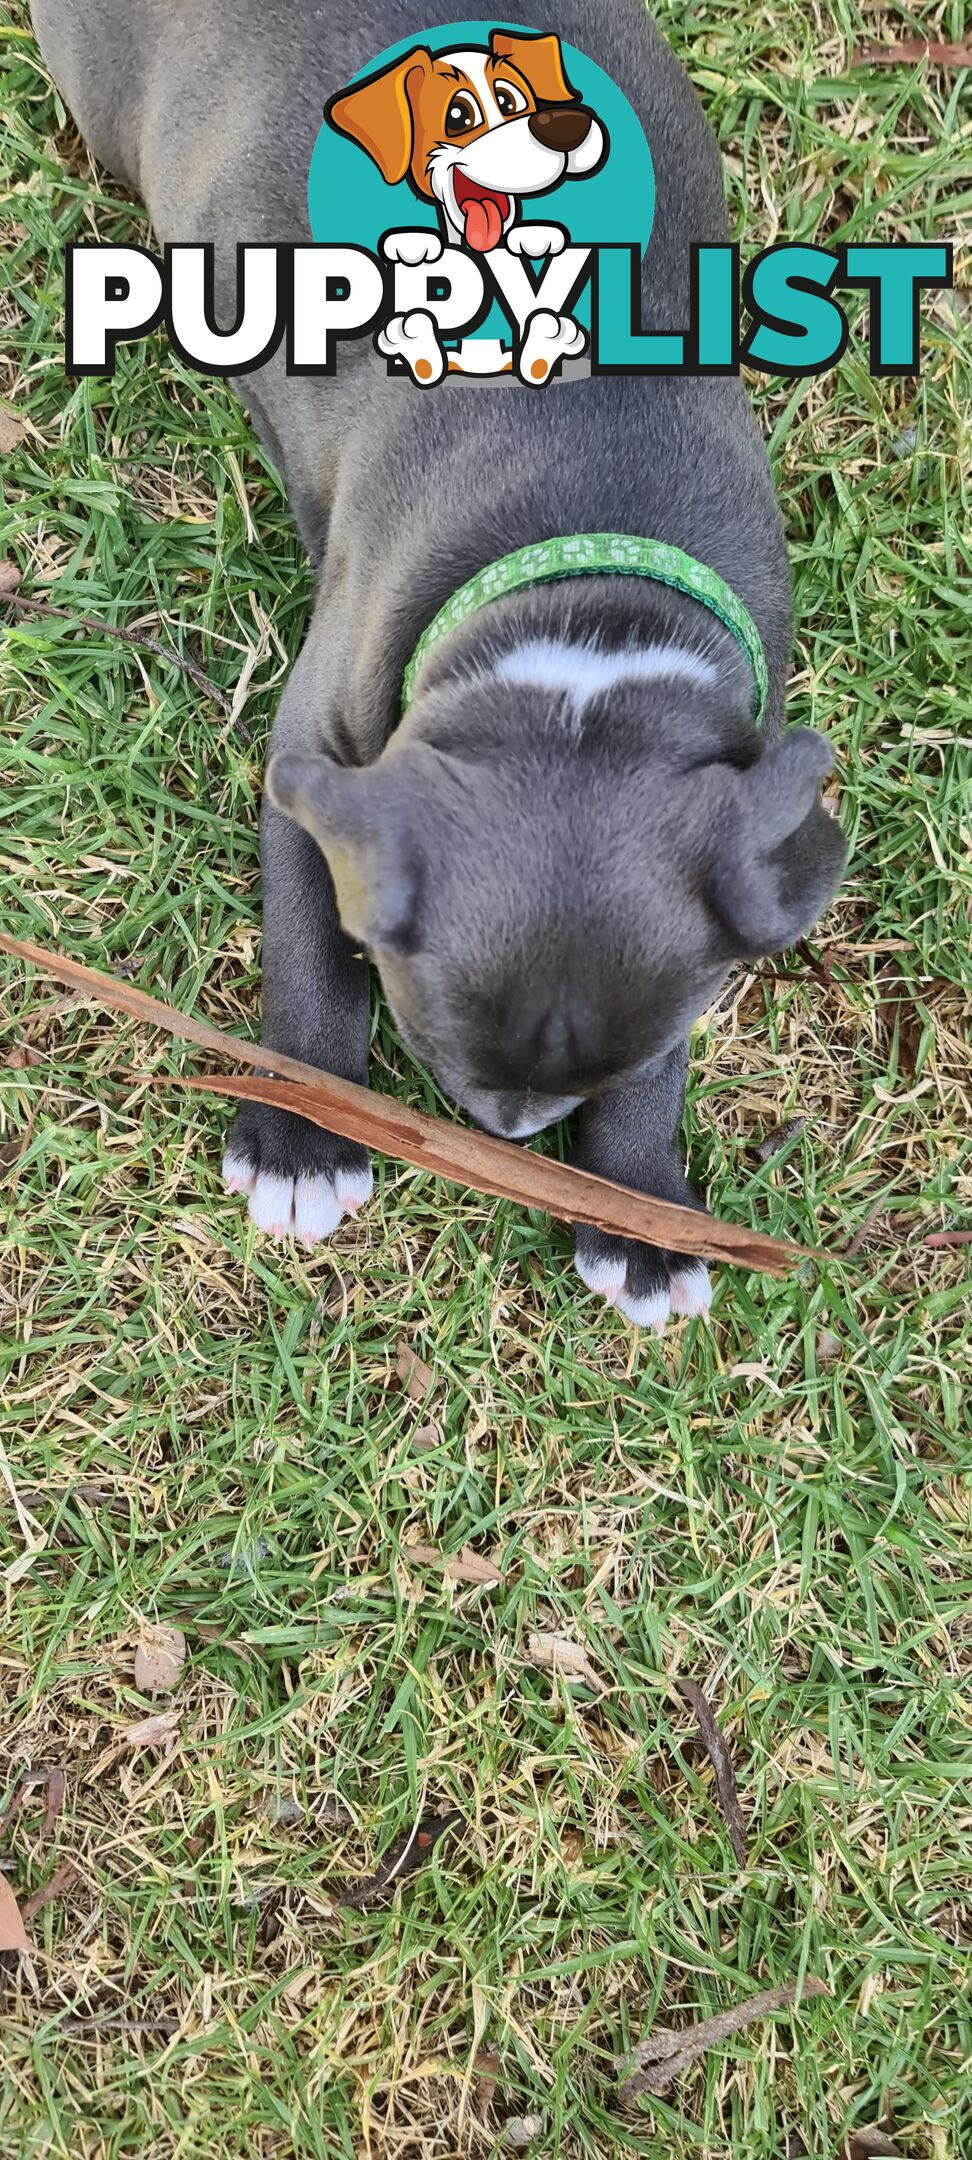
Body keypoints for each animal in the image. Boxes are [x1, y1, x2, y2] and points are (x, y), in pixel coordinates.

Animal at [34, 0, 846, 1321]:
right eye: (421, 1035)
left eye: (602, 1073)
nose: (509, 1133)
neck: (587, 636)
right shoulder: (314, 757)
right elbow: (309, 945)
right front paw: (303, 1139)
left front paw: (641, 1205)